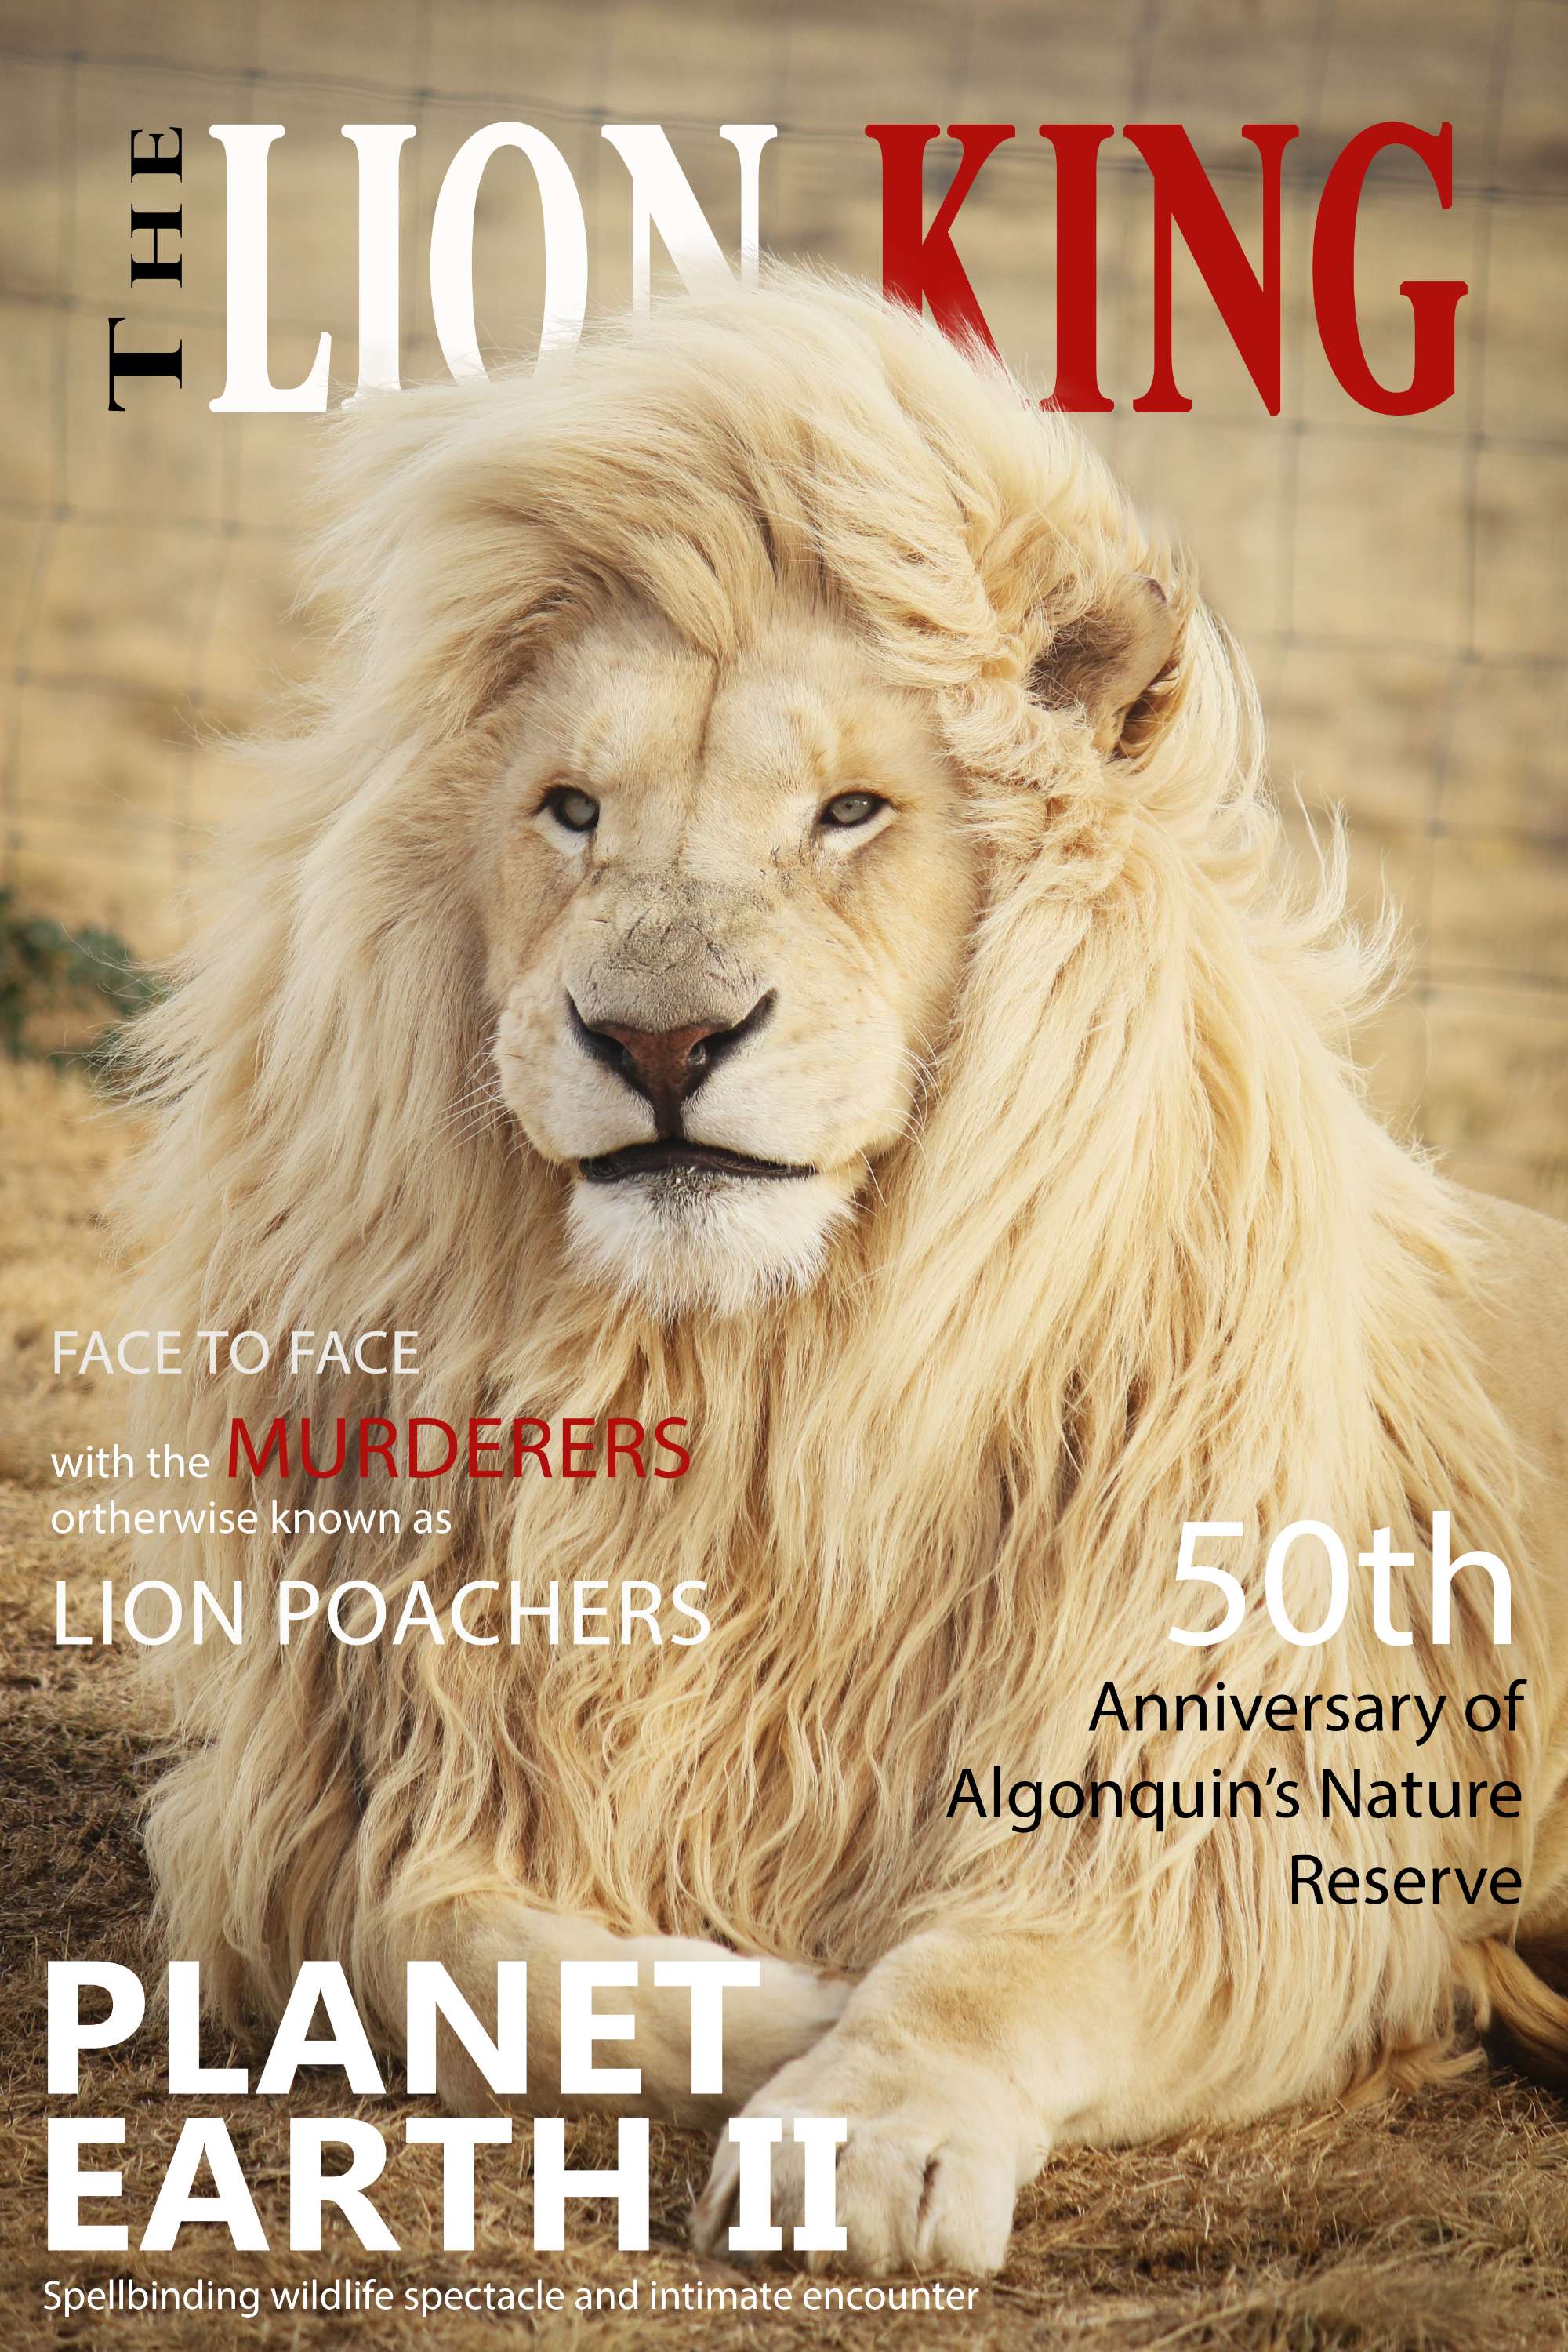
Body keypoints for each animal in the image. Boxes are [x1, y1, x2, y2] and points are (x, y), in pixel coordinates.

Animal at [122, 273, 1568, 2277]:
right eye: (570, 811)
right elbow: (428, 1937)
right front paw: (784, 2000)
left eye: (851, 813)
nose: (656, 1040)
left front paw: (857, 2118)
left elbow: (987, 1964)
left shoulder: (1220, 1832)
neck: (749, 1388)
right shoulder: (354, 1798)